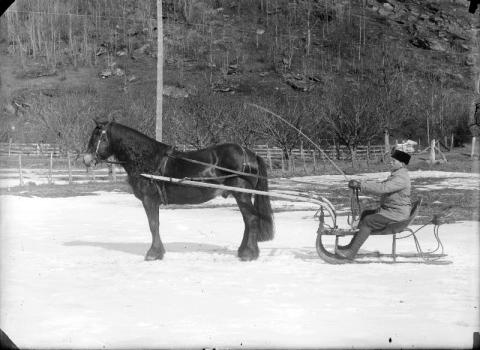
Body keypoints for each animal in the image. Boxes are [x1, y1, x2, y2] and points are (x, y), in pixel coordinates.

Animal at [83, 120, 274, 260]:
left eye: (99, 137)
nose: (86, 160)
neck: (147, 159)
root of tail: (250, 154)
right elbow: (155, 224)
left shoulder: (149, 199)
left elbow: (153, 224)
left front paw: (154, 253)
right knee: (247, 221)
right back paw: (243, 251)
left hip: (242, 194)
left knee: (251, 220)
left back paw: (249, 254)